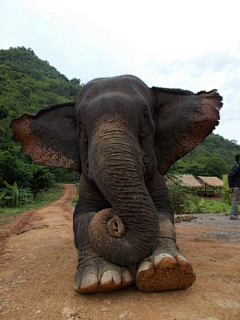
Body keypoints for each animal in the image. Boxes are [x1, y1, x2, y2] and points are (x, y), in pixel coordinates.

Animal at [10, 74, 221, 292]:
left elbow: (163, 214)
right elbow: (84, 218)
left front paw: (167, 271)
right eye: (80, 125)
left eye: (145, 119)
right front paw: (102, 280)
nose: (116, 222)